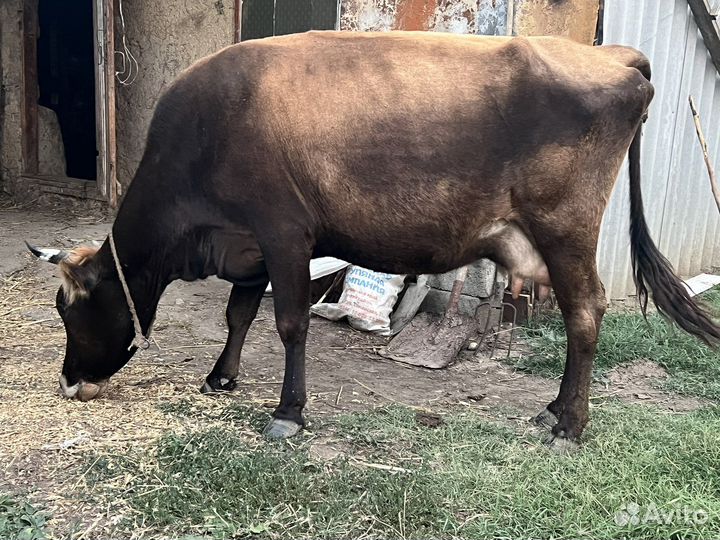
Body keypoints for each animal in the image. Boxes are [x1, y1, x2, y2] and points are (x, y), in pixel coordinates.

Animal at [28, 31, 720, 451]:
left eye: (70, 309)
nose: (68, 382)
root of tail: (613, 55)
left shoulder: (285, 231)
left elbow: (289, 323)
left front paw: (288, 413)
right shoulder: (248, 244)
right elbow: (239, 312)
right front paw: (221, 377)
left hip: (565, 227)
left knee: (584, 312)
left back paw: (569, 425)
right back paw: (552, 409)